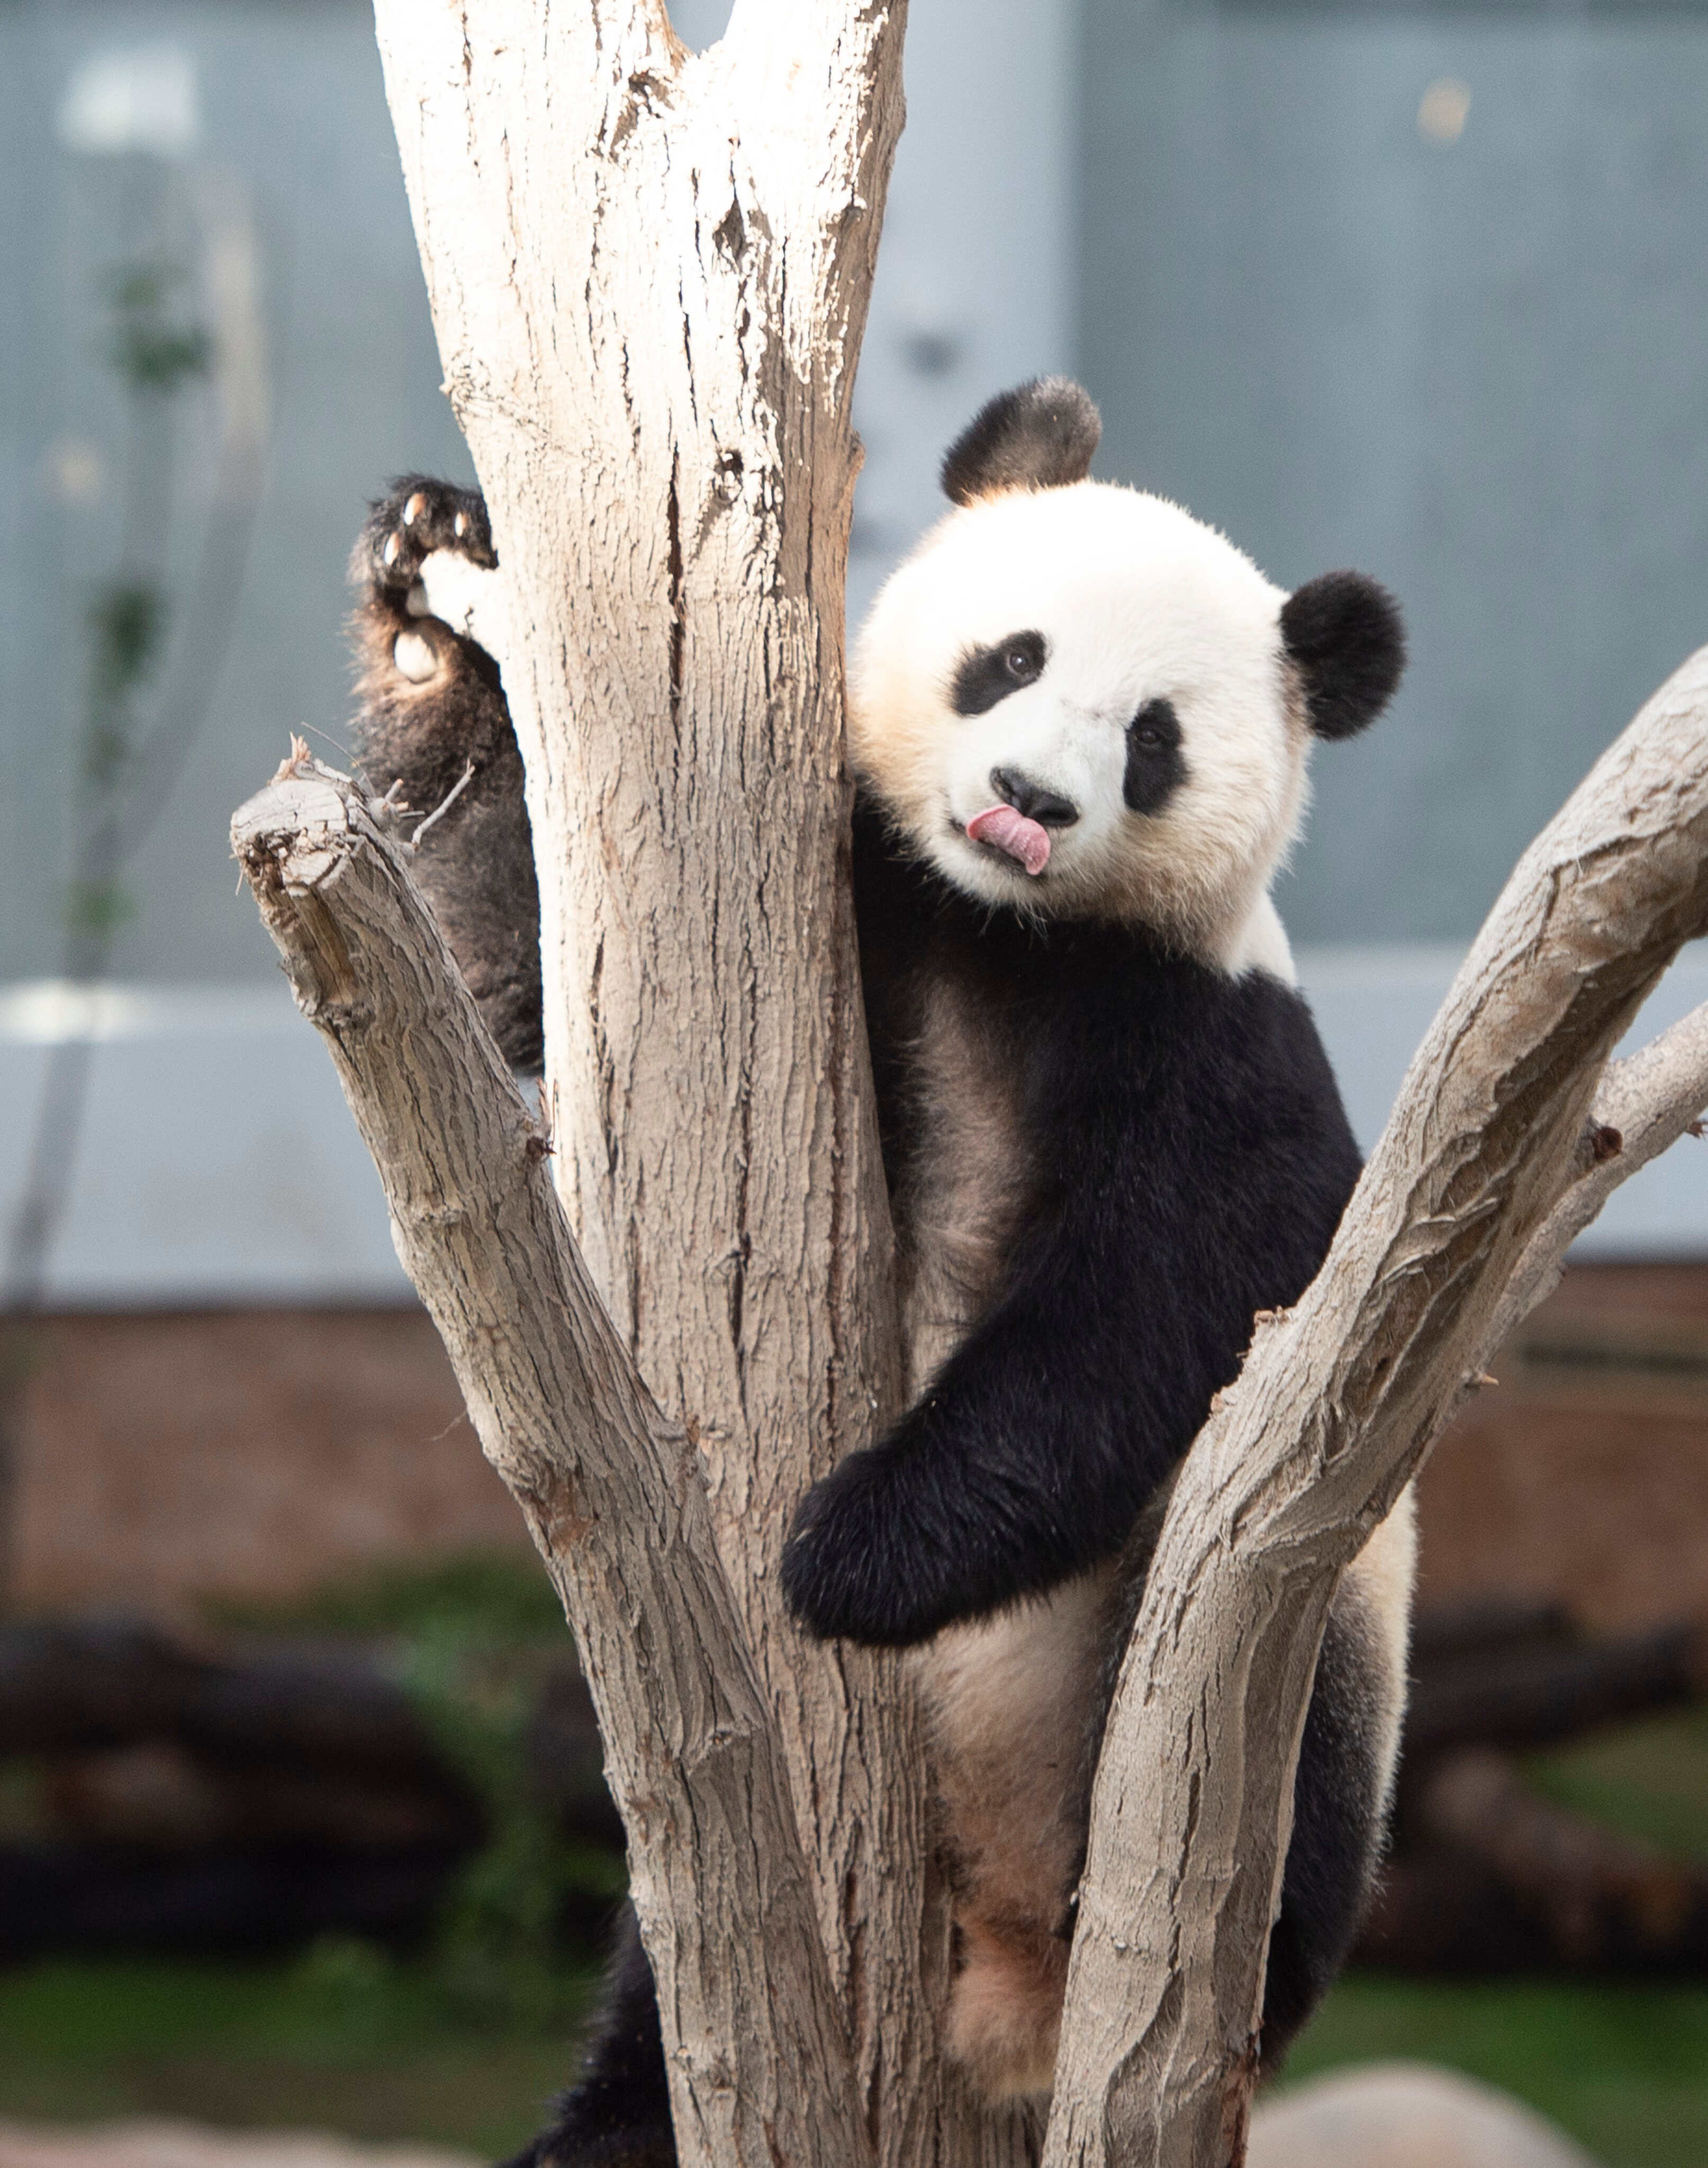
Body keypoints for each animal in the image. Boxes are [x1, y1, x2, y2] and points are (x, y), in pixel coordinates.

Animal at [348, 378, 1415, 2168]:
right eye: (1011, 658)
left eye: (1153, 738)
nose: (1028, 800)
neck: (1004, 935)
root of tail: (1006, 1987)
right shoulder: (868, 895)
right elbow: (518, 981)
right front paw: (430, 578)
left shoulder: (1206, 1030)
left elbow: (1168, 1290)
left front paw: (846, 1555)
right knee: (662, 1968)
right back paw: (607, 2125)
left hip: (1273, 1635)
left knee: (1268, 1718)